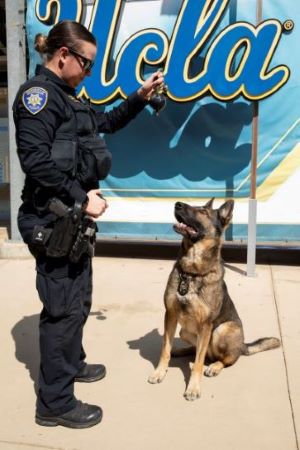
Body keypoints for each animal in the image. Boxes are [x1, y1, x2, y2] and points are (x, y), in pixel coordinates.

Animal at [149, 199, 280, 400]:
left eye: (203, 211)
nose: (177, 204)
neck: (191, 272)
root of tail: (243, 345)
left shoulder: (206, 325)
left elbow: (198, 363)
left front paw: (193, 388)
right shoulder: (170, 315)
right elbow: (165, 349)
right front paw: (159, 372)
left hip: (222, 329)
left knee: (225, 359)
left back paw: (215, 366)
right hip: (185, 331)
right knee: (198, 350)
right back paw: (181, 350)